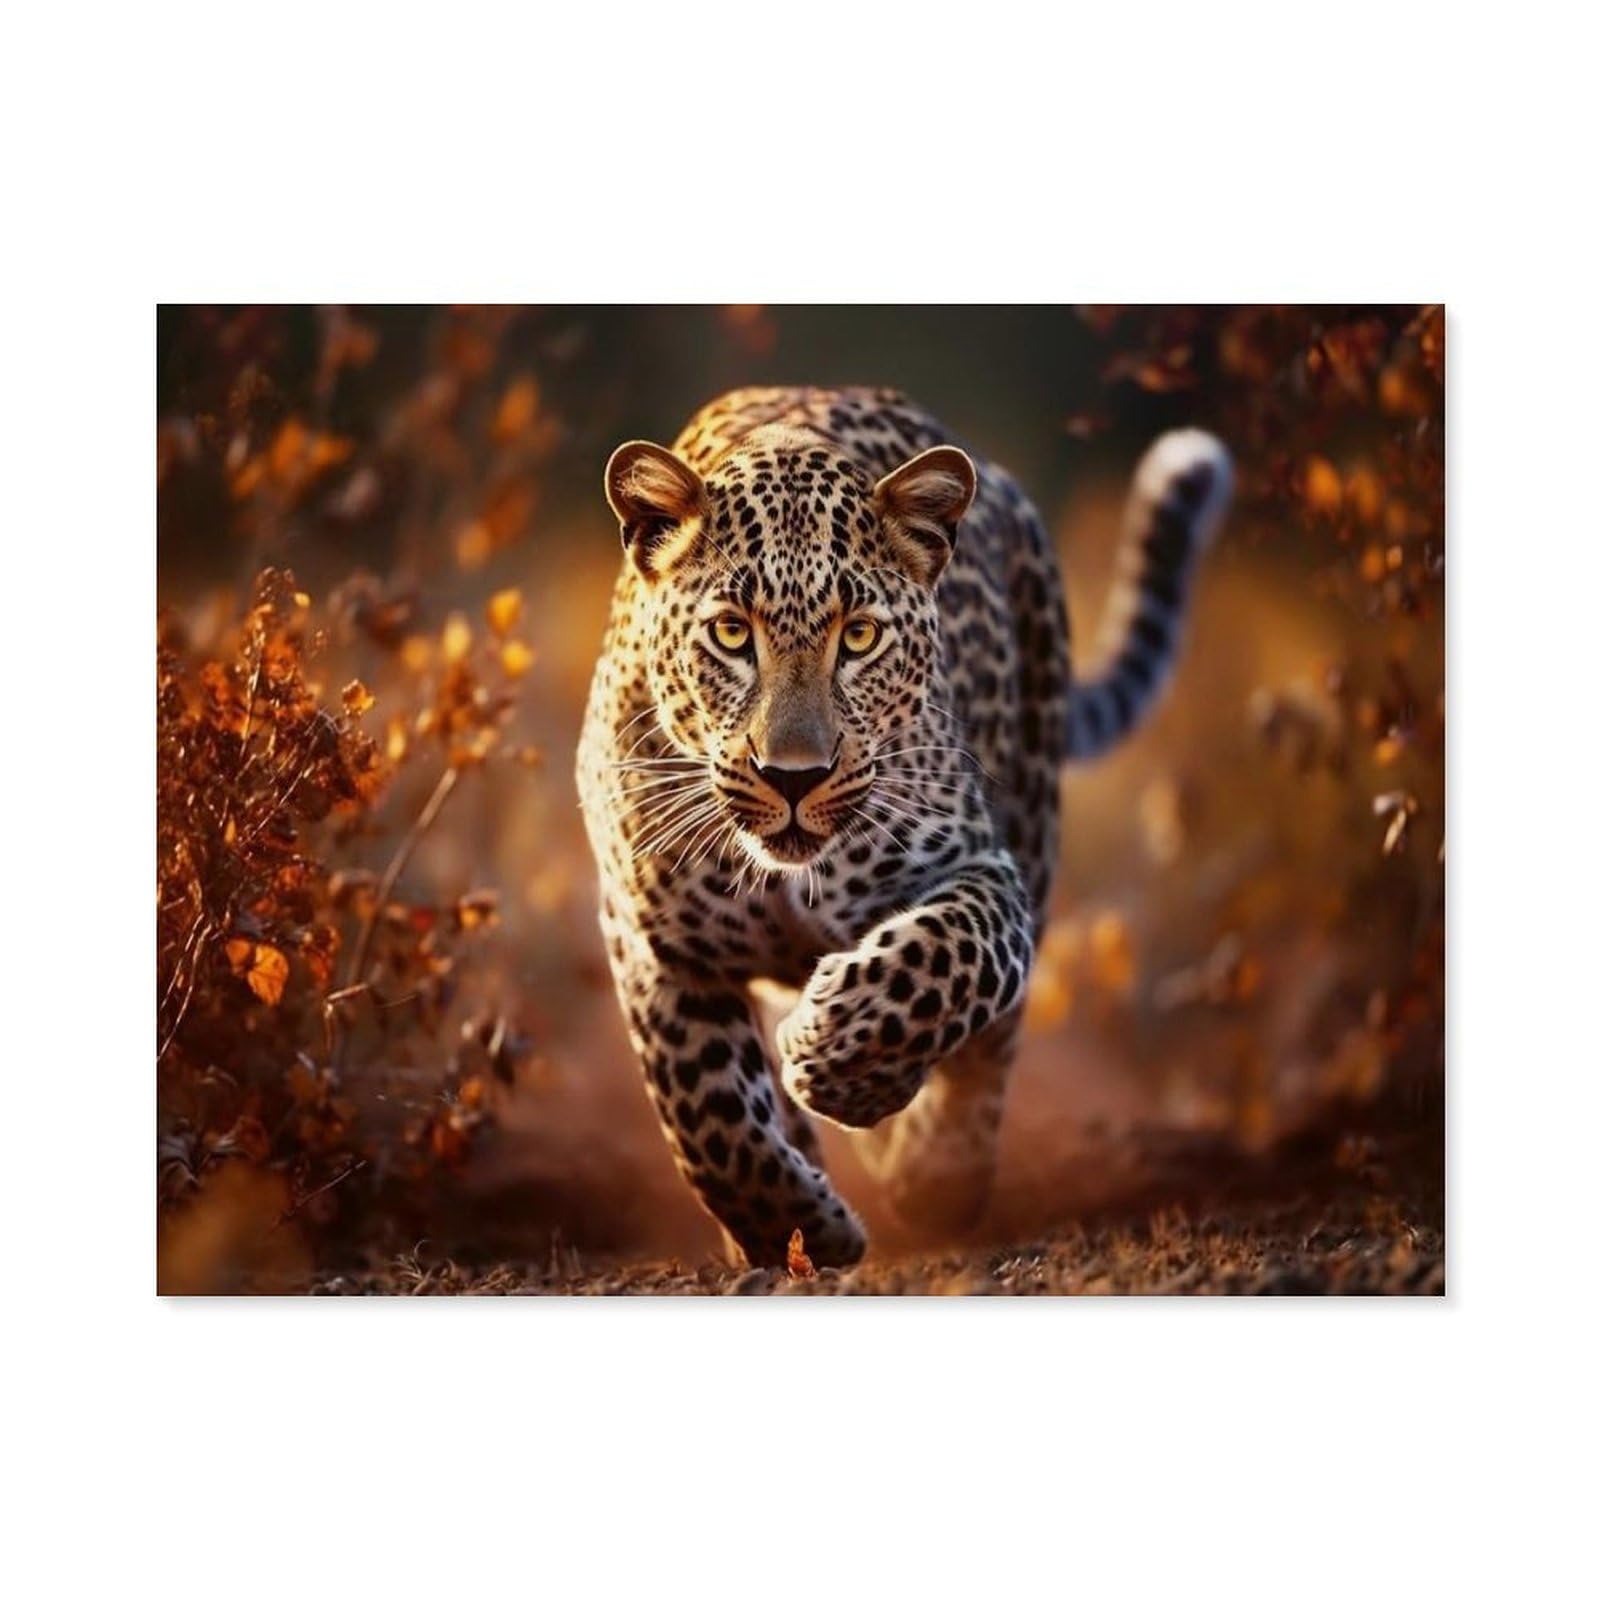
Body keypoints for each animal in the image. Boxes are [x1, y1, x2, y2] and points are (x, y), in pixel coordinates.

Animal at [575, 385, 1231, 1268]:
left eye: (858, 637)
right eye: (731, 633)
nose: (793, 776)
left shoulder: (984, 869)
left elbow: (945, 960)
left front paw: (840, 1057)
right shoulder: (653, 938)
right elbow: (707, 1112)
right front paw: (796, 1228)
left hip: (1035, 813)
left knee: (990, 1046)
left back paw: (936, 1170)